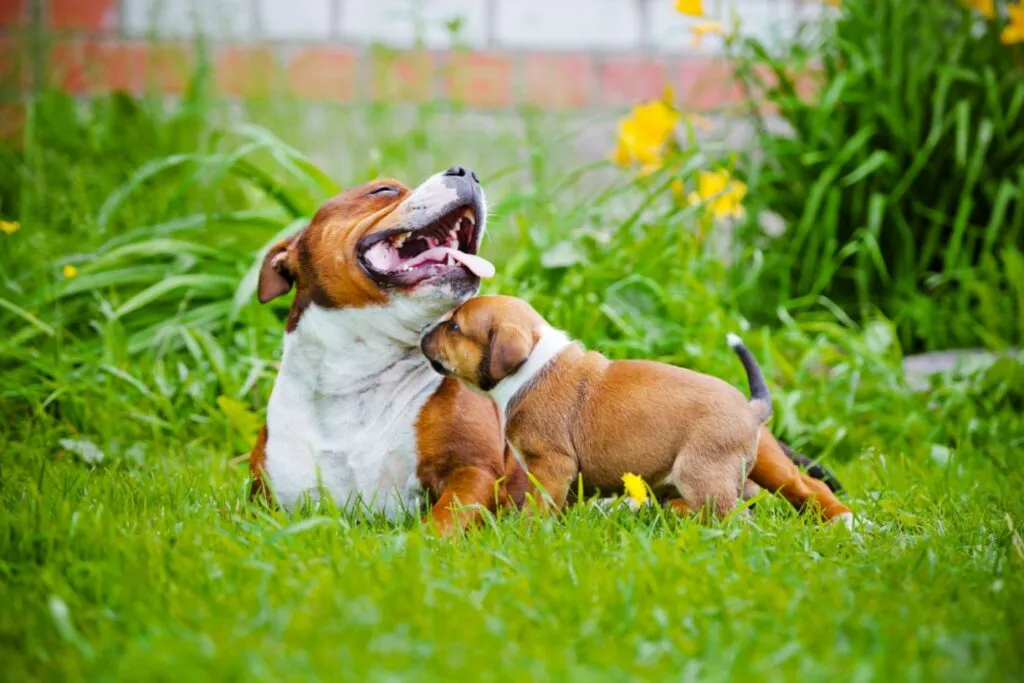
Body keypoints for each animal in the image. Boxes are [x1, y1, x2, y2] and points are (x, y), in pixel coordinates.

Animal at [419, 294, 851, 524]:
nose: (423, 332)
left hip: (705, 474)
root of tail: (752, 410)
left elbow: (538, 505)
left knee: (746, 512)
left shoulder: (553, 465)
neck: (532, 363)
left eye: (454, 327)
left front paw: (525, 534)